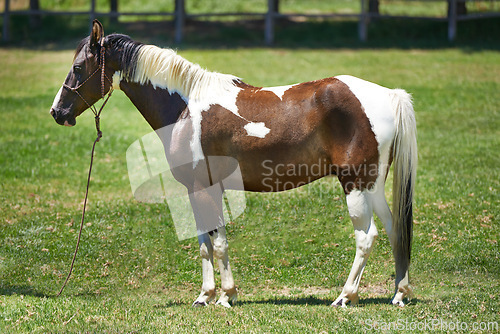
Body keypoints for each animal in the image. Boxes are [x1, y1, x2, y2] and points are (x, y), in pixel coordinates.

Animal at [50, 19, 418, 308]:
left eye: (78, 68)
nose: (57, 112)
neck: (185, 108)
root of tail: (389, 95)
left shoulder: (204, 187)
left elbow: (218, 242)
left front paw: (224, 296)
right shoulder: (198, 189)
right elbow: (205, 243)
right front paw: (207, 295)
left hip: (354, 185)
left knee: (366, 236)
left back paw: (345, 296)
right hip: (373, 185)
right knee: (394, 229)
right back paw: (399, 293)